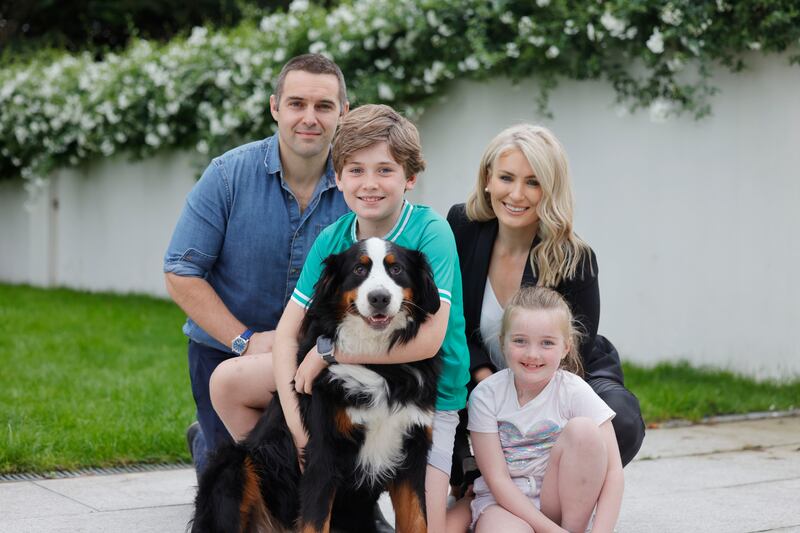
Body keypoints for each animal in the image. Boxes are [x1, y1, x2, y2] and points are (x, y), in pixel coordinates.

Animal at [194, 238, 444, 532]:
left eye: (396, 269)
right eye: (359, 269)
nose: (379, 298)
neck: (378, 363)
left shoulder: (412, 451)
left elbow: (417, 520)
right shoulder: (323, 452)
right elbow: (315, 521)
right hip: (234, 464)